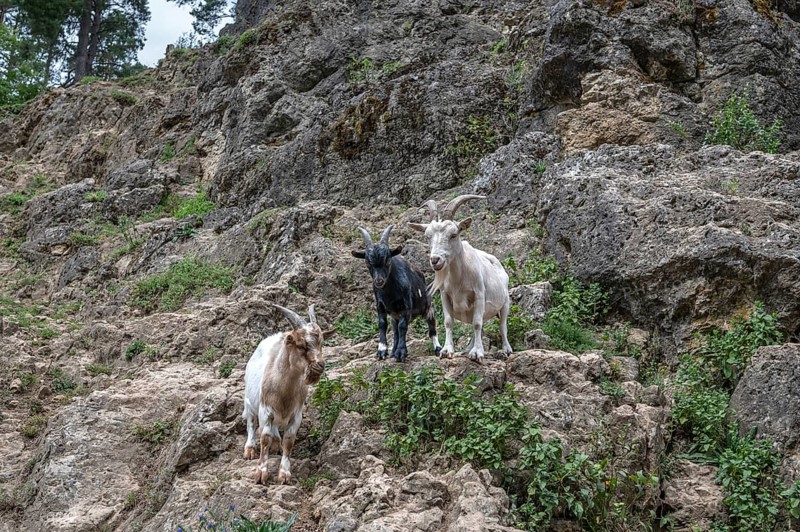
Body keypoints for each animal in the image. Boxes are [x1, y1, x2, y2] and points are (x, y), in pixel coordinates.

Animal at [242, 304, 331, 484]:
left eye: (321, 344)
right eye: (301, 345)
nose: (320, 365)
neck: (284, 392)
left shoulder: (296, 415)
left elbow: (289, 441)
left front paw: (284, 474)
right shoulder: (265, 410)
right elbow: (264, 437)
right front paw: (261, 473)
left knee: (276, 429)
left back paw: (277, 443)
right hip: (249, 402)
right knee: (251, 423)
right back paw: (250, 448)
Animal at [351, 224, 441, 361]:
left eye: (388, 260)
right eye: (367, 262)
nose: (379, 281)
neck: (389, 293)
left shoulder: (406, 307)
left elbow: (403, 326)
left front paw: (401, 352)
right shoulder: (380, 306)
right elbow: (383, 324)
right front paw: (382, 351)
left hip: (428, 307)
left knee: (432, 328)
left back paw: (438, 349)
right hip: (395, 316)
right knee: (395, 331)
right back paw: (393, 351)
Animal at [409, 195, 512, 362]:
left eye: (453, 234)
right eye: (428, 236)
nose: (435, 260)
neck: (458, 280)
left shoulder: (479, 294)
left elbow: (477, 324)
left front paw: (477, 353)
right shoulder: (445, 295)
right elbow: (448, 322)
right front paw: (447, 351)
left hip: (505, 303)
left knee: (502, 325)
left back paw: (506, 349)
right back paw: (466, 350)